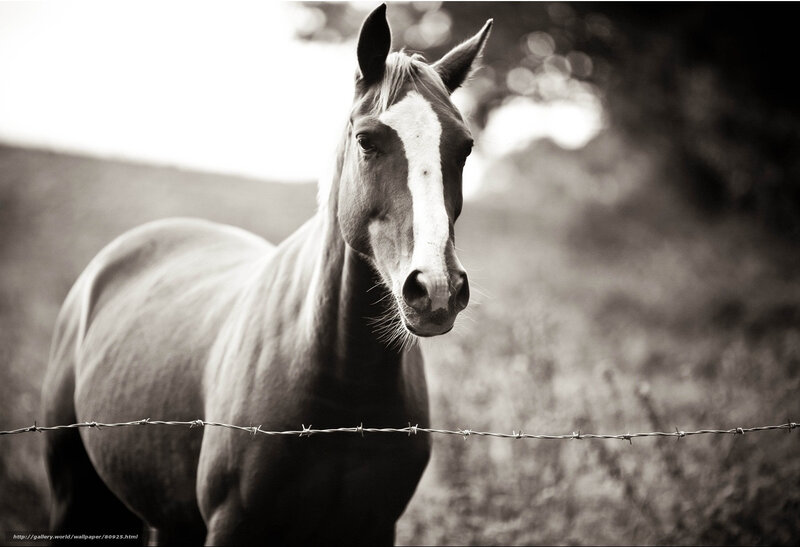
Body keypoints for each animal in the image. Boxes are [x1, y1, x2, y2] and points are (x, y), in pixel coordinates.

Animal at [41, 4, 492, 544]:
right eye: (366, 140)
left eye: (465, 148)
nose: (437, 288)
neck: (341, 389)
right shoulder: (233, 524)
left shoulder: (376, 527)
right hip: (76, 495)